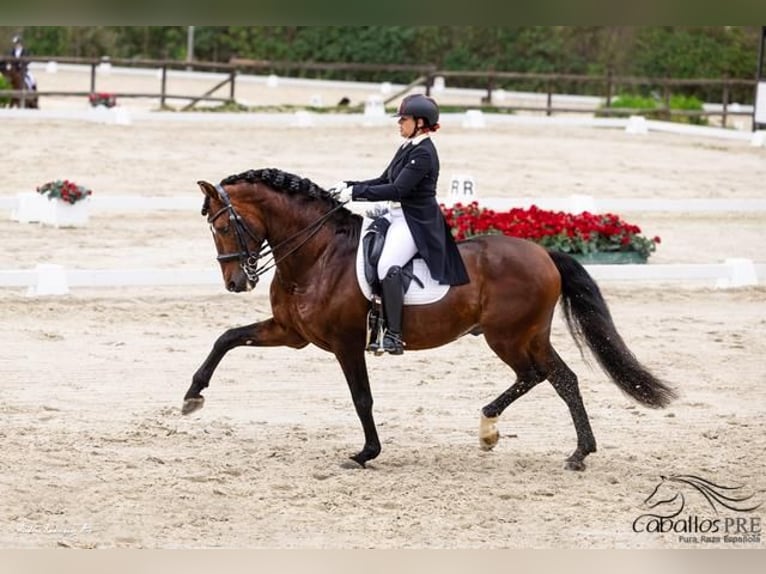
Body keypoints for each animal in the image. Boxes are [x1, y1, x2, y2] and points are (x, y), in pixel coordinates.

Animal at [182, 168, 680, 472]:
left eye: (223, 227)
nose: (236, 282)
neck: (318, 254)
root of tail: (544, 254)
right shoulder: (290, 333)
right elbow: (227, 338)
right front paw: (192, 396)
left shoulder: (345, 342)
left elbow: (362, 398)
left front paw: (365, 453)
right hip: (527, 335)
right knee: (560, 377)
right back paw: (562, 447)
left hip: (508, 336)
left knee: (541, 375)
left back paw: (507, 432)